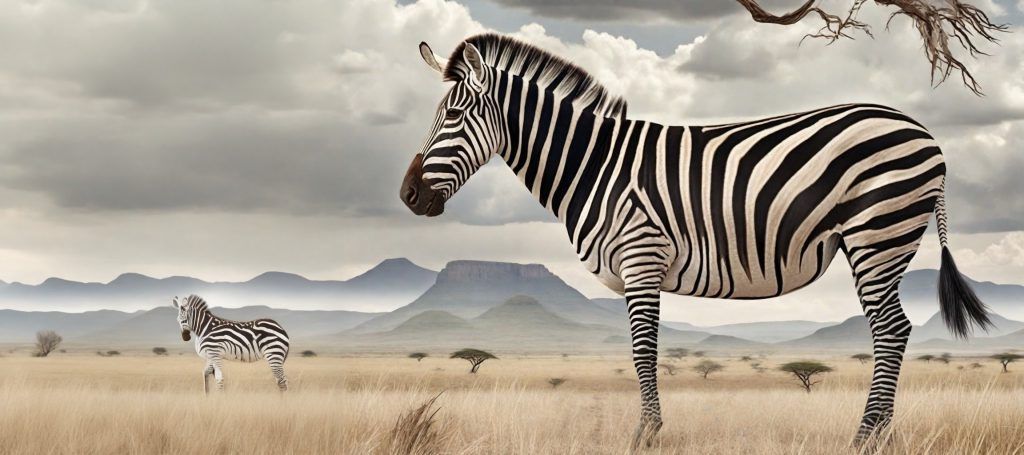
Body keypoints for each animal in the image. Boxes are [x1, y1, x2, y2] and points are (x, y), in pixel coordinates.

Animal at [400, 34, 991, 448]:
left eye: (454, 116)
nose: (408, 196)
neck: (594, 166)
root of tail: (924, 133)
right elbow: (644, 352)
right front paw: (649, 431)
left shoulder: (641, 255)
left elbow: (643, 351)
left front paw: (646, 435)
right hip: (882, 239)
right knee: (895, 330)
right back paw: (881, 434)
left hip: (878, 232)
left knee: (891, 330)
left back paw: (865, 436)